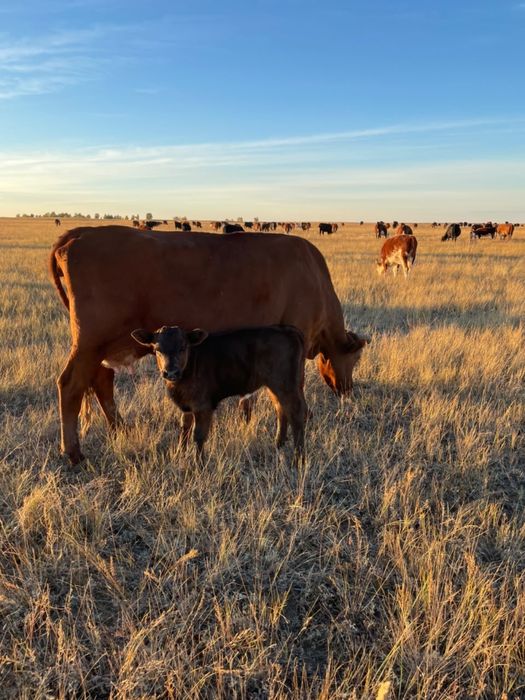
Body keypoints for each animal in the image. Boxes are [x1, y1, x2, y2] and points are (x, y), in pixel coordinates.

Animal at [131, 324, 307, 462]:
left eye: (183, 347)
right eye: (157, 349)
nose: (171, 372)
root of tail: (286, 329)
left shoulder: (203, 406)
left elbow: (198, 435)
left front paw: (199, 465)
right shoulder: (187, 406)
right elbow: (184, 429)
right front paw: (180, 455)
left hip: (285, 385)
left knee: (296, 414)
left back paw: (298, 458)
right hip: (275, 386)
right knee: (281, 410)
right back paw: (278, 445)